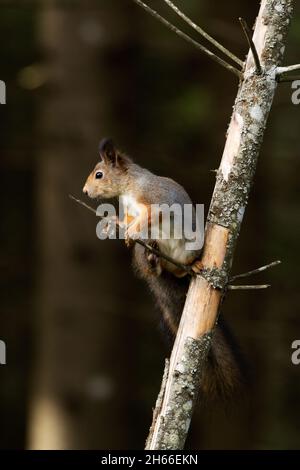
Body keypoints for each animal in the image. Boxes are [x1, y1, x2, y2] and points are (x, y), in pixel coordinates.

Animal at [82, 138, 246, 398]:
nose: (85, 191)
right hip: (149, 253)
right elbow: (128, 220)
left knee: (180, 269)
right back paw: (152, 259)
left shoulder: (157, 199)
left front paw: (131, 230)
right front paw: (117, 225)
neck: (129, 189)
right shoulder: (129, 211)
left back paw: (191, 266)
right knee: (157, 266)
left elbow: (152, 214)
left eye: (99, 174)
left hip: (189, 248)